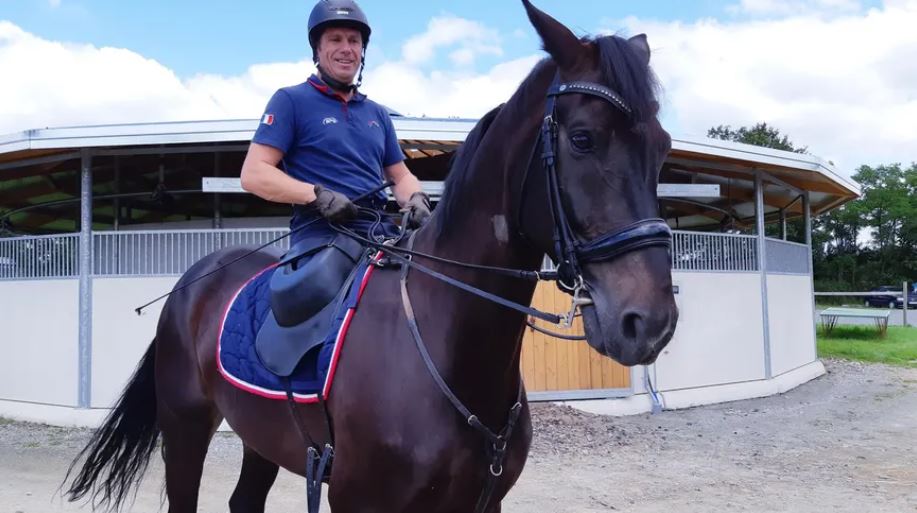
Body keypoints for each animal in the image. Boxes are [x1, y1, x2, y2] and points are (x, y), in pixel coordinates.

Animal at [64, 2, 676, 510]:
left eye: (663, 146)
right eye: (582, 139)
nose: (649, 322)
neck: (445, 345)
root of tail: (194, 280)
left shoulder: (481, 502)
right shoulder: (359, 501)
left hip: (260, 433)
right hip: (186, 427)